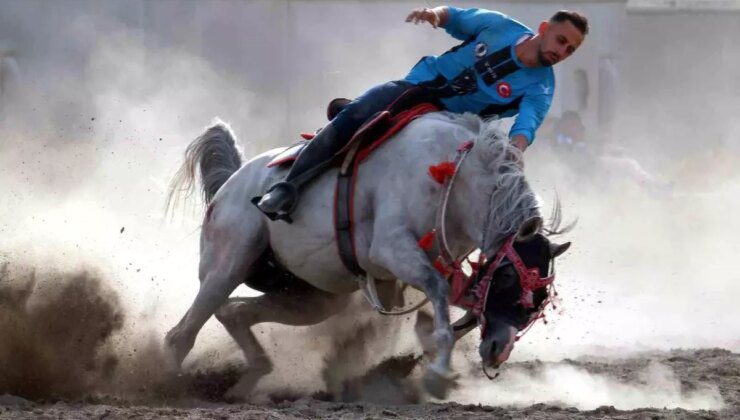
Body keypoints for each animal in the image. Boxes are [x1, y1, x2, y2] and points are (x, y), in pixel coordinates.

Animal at [165, 110, 572, 398]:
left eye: (540, 300)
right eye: (507, 278)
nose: (497, 350)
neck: (456, 179)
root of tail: (233, 182)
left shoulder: (443, 265)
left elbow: (456, 303)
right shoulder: (392, 249)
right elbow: (439, 294)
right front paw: (438, 375)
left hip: (311, 298)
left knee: (232, 312)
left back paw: (246, 382)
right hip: (227, 264)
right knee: (181, 334)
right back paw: (165, 382)